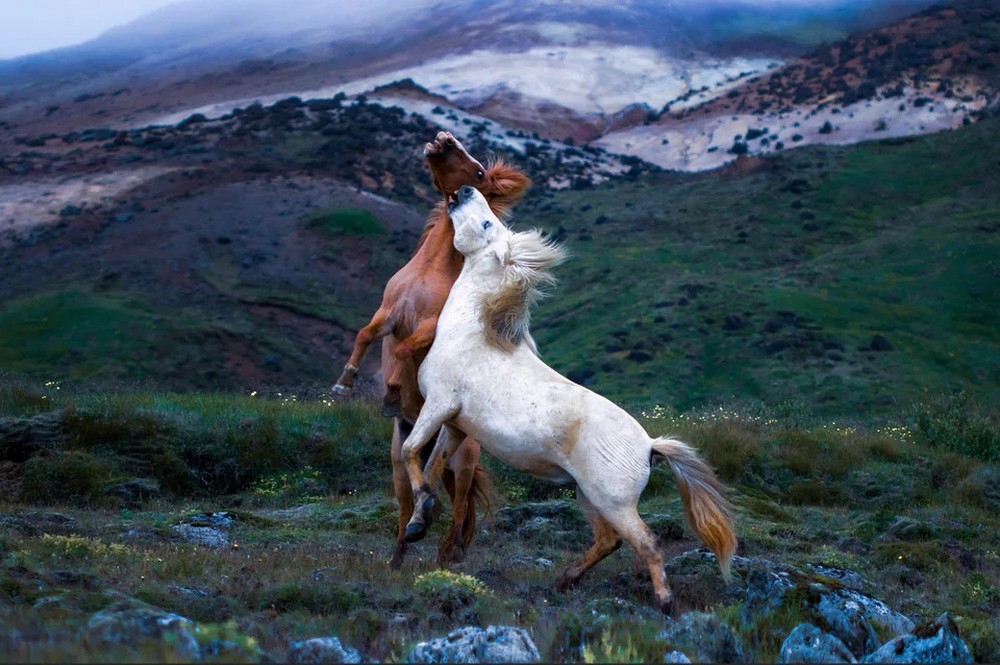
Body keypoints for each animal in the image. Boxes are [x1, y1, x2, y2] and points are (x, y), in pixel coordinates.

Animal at [332, 131, 532, 564]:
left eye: (479, 172)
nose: (445, 138)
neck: (431, 269)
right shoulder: (388, 312)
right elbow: (364, 335)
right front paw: (345, 381)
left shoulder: (428, 326)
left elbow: (405, 351)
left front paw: (392, 392)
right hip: (399, 458)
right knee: (410, 499)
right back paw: (399, 554)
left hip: (463, 459)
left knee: (456, 509)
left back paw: (446, 557)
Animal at [398, 184, 736, 608]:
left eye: (489, 222)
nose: (464, 190)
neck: (471, 334)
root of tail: (649, 445)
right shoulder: (456, 424)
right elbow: (430, 467)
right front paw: (419, 521)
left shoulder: (439, 404)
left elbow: (409, 450)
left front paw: (419, 518)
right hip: (587, 496)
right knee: (608, 541)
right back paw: (565, 580)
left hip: (613, 502)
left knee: (646, 542)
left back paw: (663, 600)